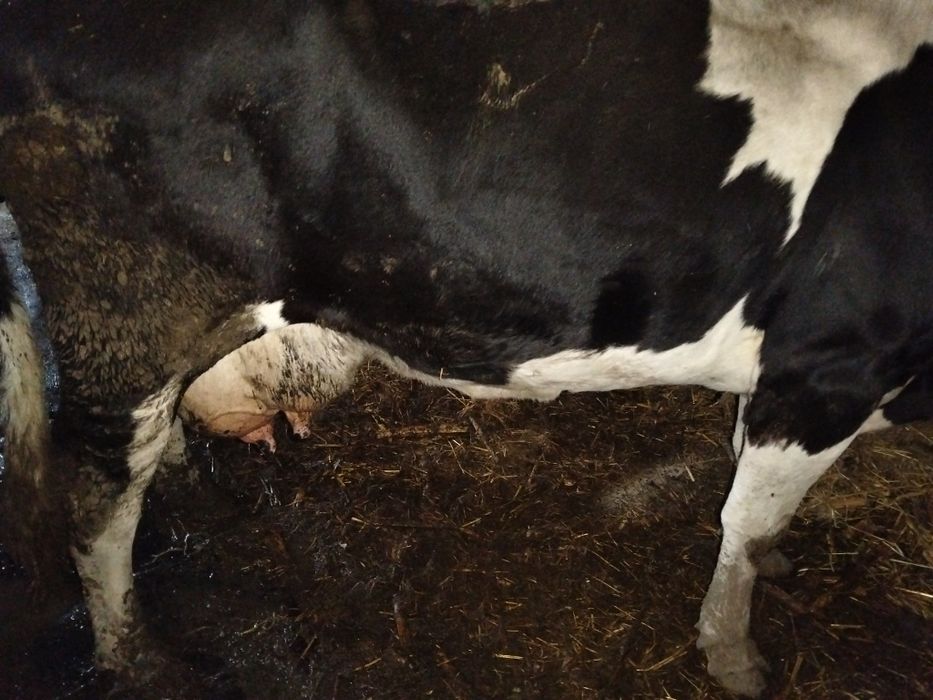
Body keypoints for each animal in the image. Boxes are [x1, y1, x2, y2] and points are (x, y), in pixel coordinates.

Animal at [0, 0, 931, 696]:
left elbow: (747, 481)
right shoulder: (829, 369)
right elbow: (744, 518)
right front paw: (734, 654)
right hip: (125, 299)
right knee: (98, 495)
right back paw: (135, 656)